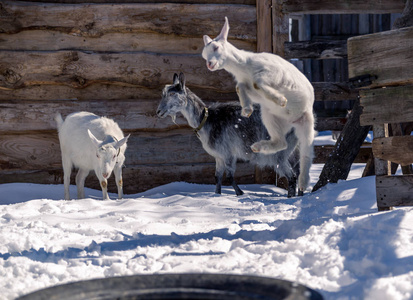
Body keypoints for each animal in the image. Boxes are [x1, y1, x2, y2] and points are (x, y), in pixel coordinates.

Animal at [156, 73, 298, 197]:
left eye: (172, 93)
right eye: (163, 94)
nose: (159, 111)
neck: (206, 120)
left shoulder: (228, 152)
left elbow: (229, 176)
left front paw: (240, 193)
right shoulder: (219, 156)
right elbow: (217, 177)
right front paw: (217, 194)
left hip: (280, 153)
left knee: (292, 176)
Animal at [201, 17, 314, 195]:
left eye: (216, 47)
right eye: (204, 54)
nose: (209, 64)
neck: (244, 66)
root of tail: (292, 121)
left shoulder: (270, 73)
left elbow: (258, 82)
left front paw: (281, 100)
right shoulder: (247, 86)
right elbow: (241, 87)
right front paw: (246, 109)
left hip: (306, 123)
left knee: (306, 155)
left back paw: (303, 183)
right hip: (270, 117)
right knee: (281, 143)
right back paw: (258, 147)